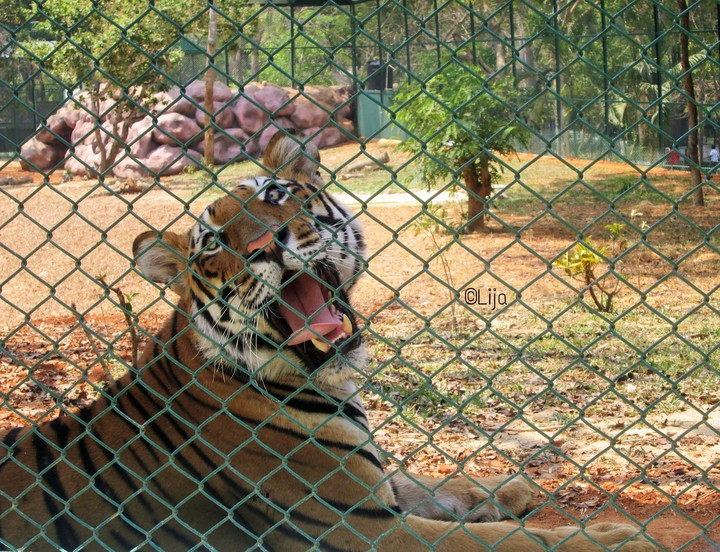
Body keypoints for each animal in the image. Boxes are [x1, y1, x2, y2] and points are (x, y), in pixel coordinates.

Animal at [0, 132, 656, 551]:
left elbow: (440, 485)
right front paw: (619, 538)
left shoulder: (375, 489)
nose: (267, 246)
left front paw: (511, 486)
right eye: (213, 244)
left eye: (273, 195)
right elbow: (510, 541)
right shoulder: (363, 527)